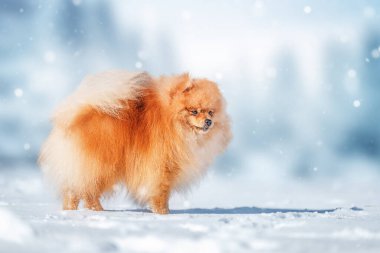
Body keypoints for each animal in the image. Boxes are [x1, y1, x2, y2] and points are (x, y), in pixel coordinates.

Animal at [40, 70, 232, 213]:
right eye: (194, 111)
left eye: (211, 112)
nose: (208, 122)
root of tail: (75, 112)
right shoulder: (160, 167)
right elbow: (161, 194)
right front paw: (164, 214)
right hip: (102, 166)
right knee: (87, 190)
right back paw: (97, 211)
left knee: (75, 191)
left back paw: (73, 211)